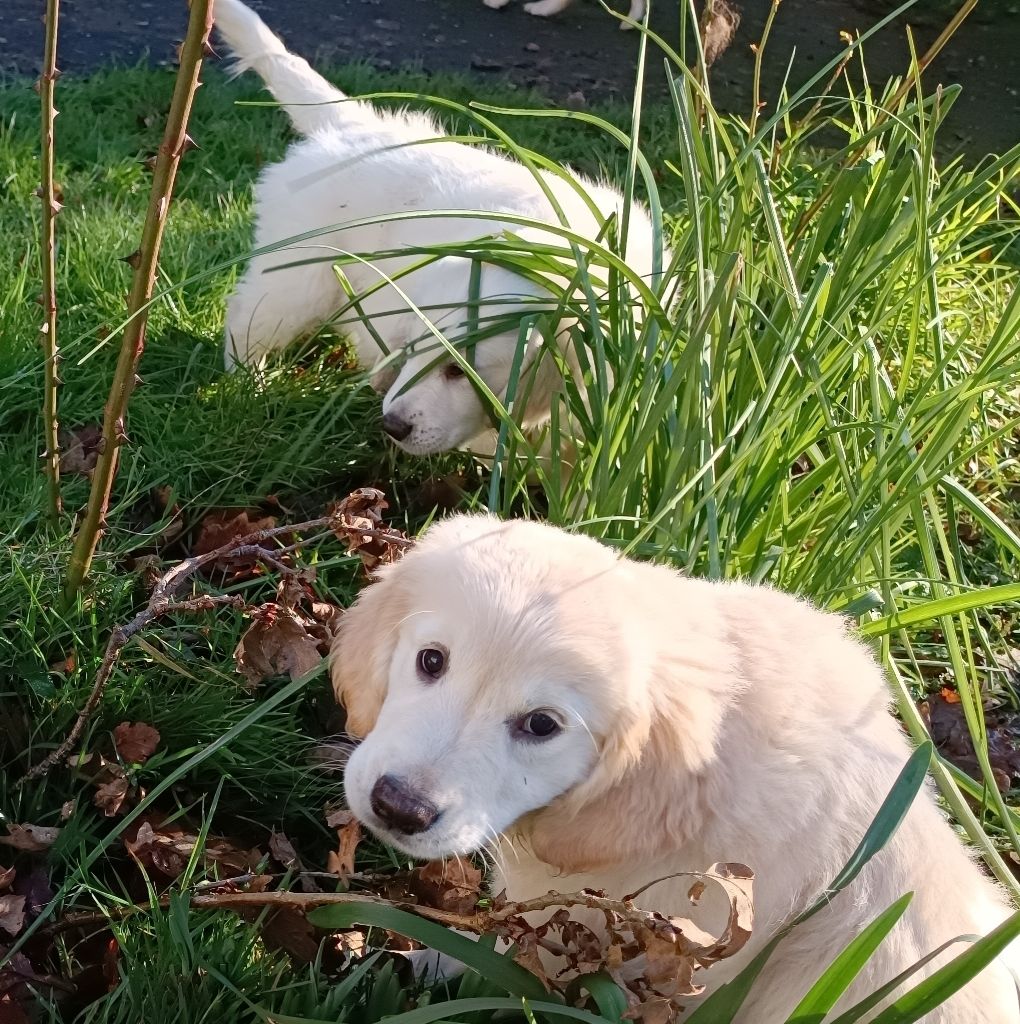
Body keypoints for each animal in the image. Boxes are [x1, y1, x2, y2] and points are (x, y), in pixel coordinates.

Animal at [215, 0, 659, 456]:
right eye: (413, 351)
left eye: (459, 371)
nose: (392, 426)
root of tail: (353, 125)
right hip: (301, 275)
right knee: (247, 319)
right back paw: (248, 385)